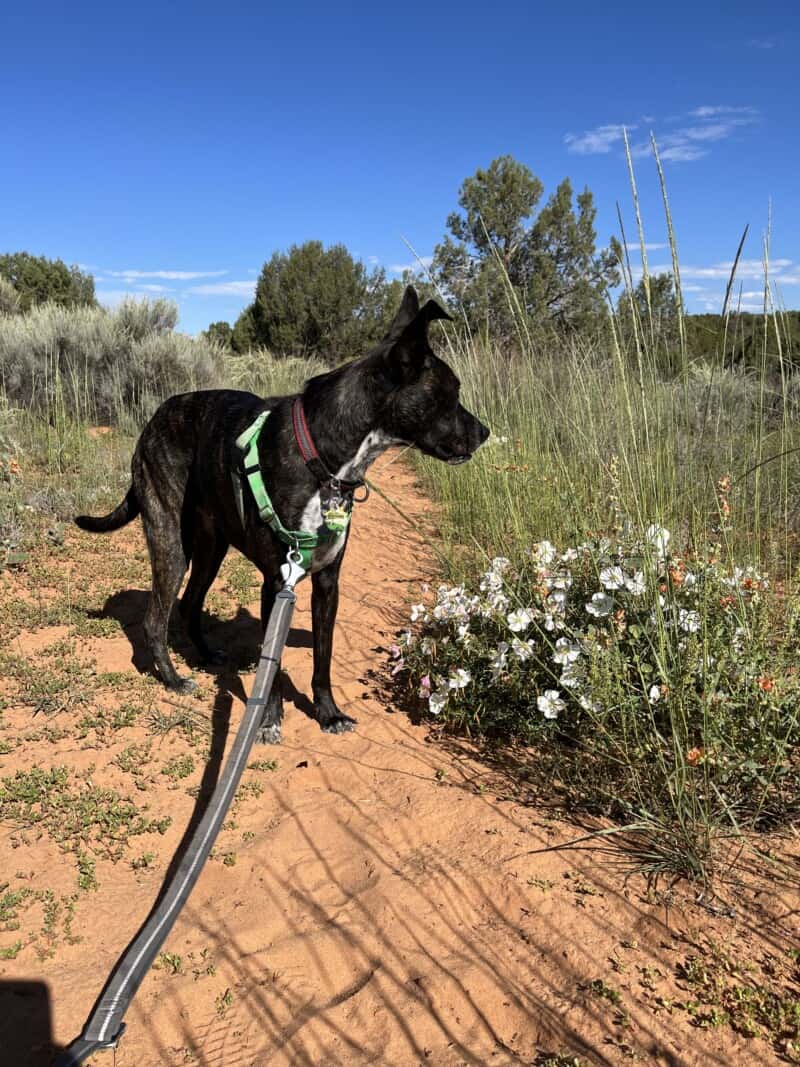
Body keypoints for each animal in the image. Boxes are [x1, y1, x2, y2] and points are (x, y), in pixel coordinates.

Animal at [76, 288, 488, 746]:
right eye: (451, 393)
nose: (485, 433)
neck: (323, 460)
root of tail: (151, 421)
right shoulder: (276, 583)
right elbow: (271, 669)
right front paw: (269, 720)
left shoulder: (327, 583)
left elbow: (323, 660)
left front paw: (328, 713)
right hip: (170, 543)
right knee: (155, 618)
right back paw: (173, 678)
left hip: (211, 547)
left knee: (190, 602)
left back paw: (207, 655)